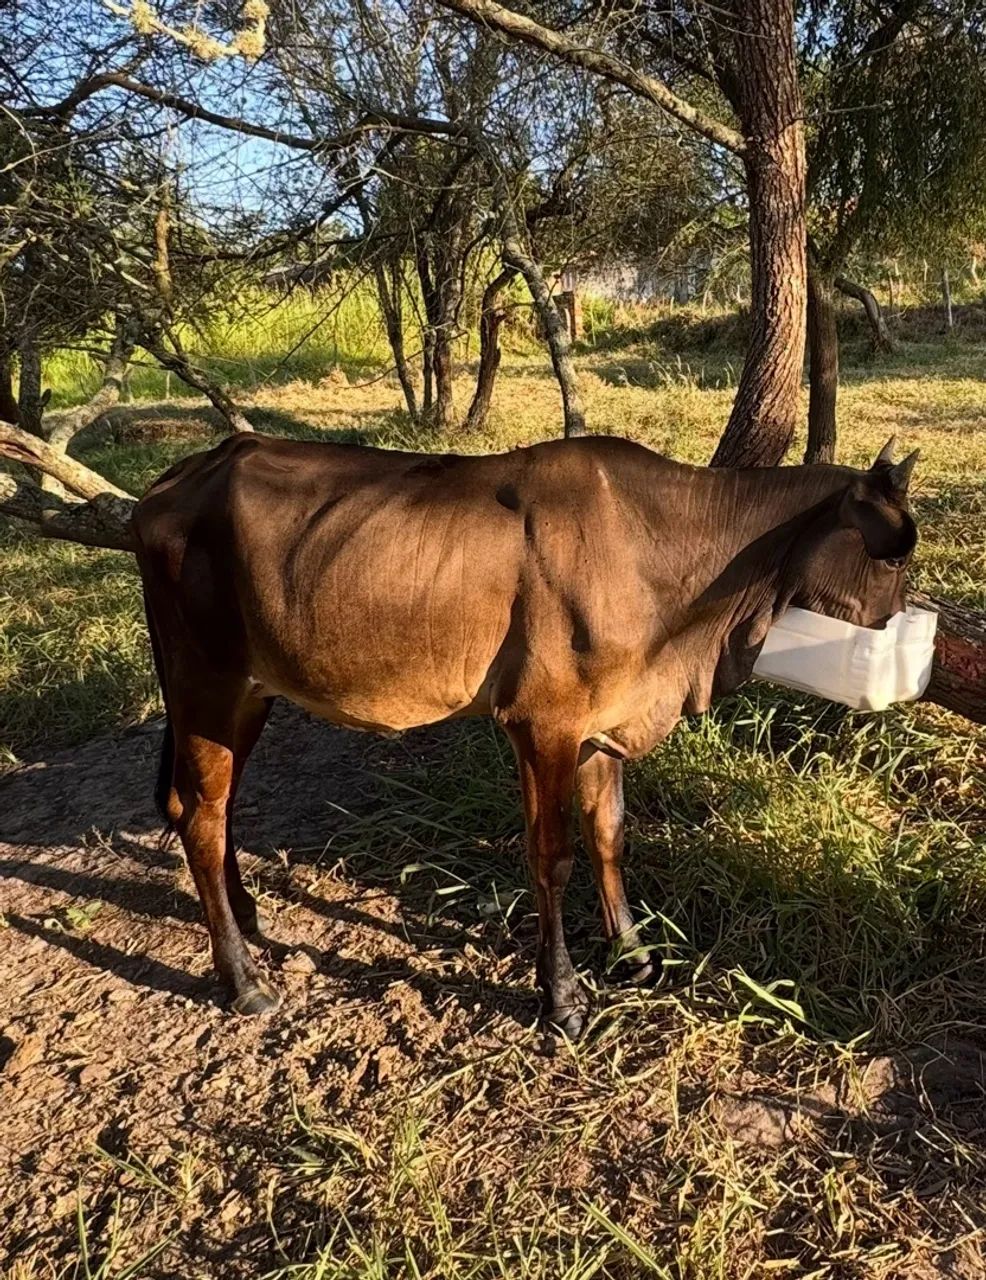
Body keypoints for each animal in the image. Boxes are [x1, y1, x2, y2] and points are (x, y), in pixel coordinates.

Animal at [133, 433, 918, 1036]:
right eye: (892, 557)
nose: (895, 629)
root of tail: (175, 482)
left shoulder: (603, 725)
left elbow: (609, 834)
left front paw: (633, 953)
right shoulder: (543, 725)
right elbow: (553, 858)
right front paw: (563, 997)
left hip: (249, 695)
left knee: (206, 809)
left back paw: (247, 916)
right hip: (208, 683)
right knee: (200, 817)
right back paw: (243, 979)